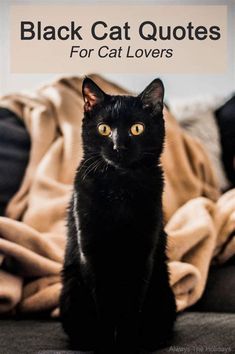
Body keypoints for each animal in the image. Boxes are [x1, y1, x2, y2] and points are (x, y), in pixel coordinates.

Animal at [60, 78, 176, 354]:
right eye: (103, 129)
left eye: (137, 129)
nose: (118, 146)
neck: (119, 188)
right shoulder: (91, 253)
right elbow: (104, 308)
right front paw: (105, 345)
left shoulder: (142, 254)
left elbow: (130, 309)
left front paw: (127, 344)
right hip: (70, 292)